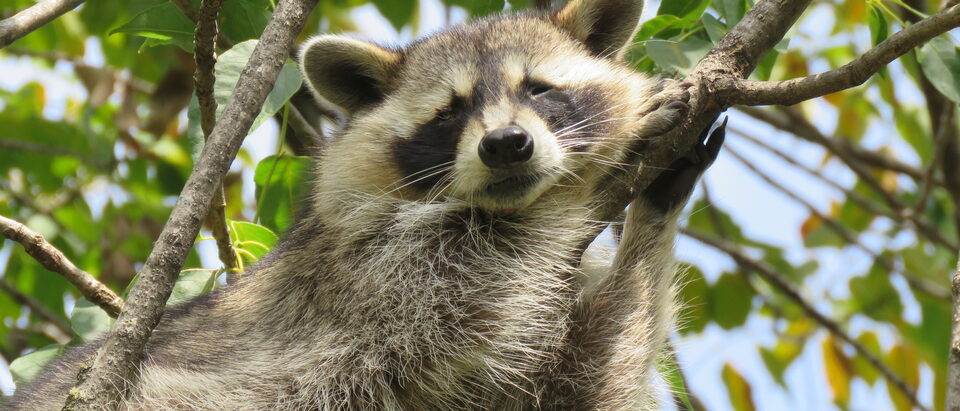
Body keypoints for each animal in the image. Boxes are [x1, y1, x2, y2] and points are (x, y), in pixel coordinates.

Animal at [8, 0, 724, 409]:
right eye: (450, 112)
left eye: (539, 89)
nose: (506, 146)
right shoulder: (366, 280)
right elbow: (484, 265)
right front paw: (590, 177)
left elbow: (581, 381)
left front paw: (654, 209)